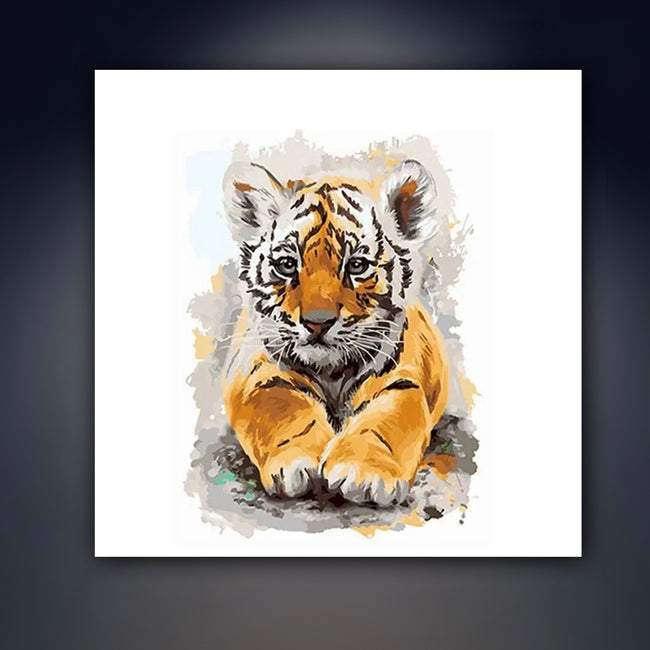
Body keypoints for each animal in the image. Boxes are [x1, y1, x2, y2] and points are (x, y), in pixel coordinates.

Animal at [221, 158, 449, 507]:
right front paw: (300, 461)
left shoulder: (401, 380)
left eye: (356, 265)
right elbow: (284, 408)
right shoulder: (258, 373)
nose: (318, 321)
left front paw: (364, 472)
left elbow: (384, 423)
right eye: (287, 265)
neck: (332, 372)